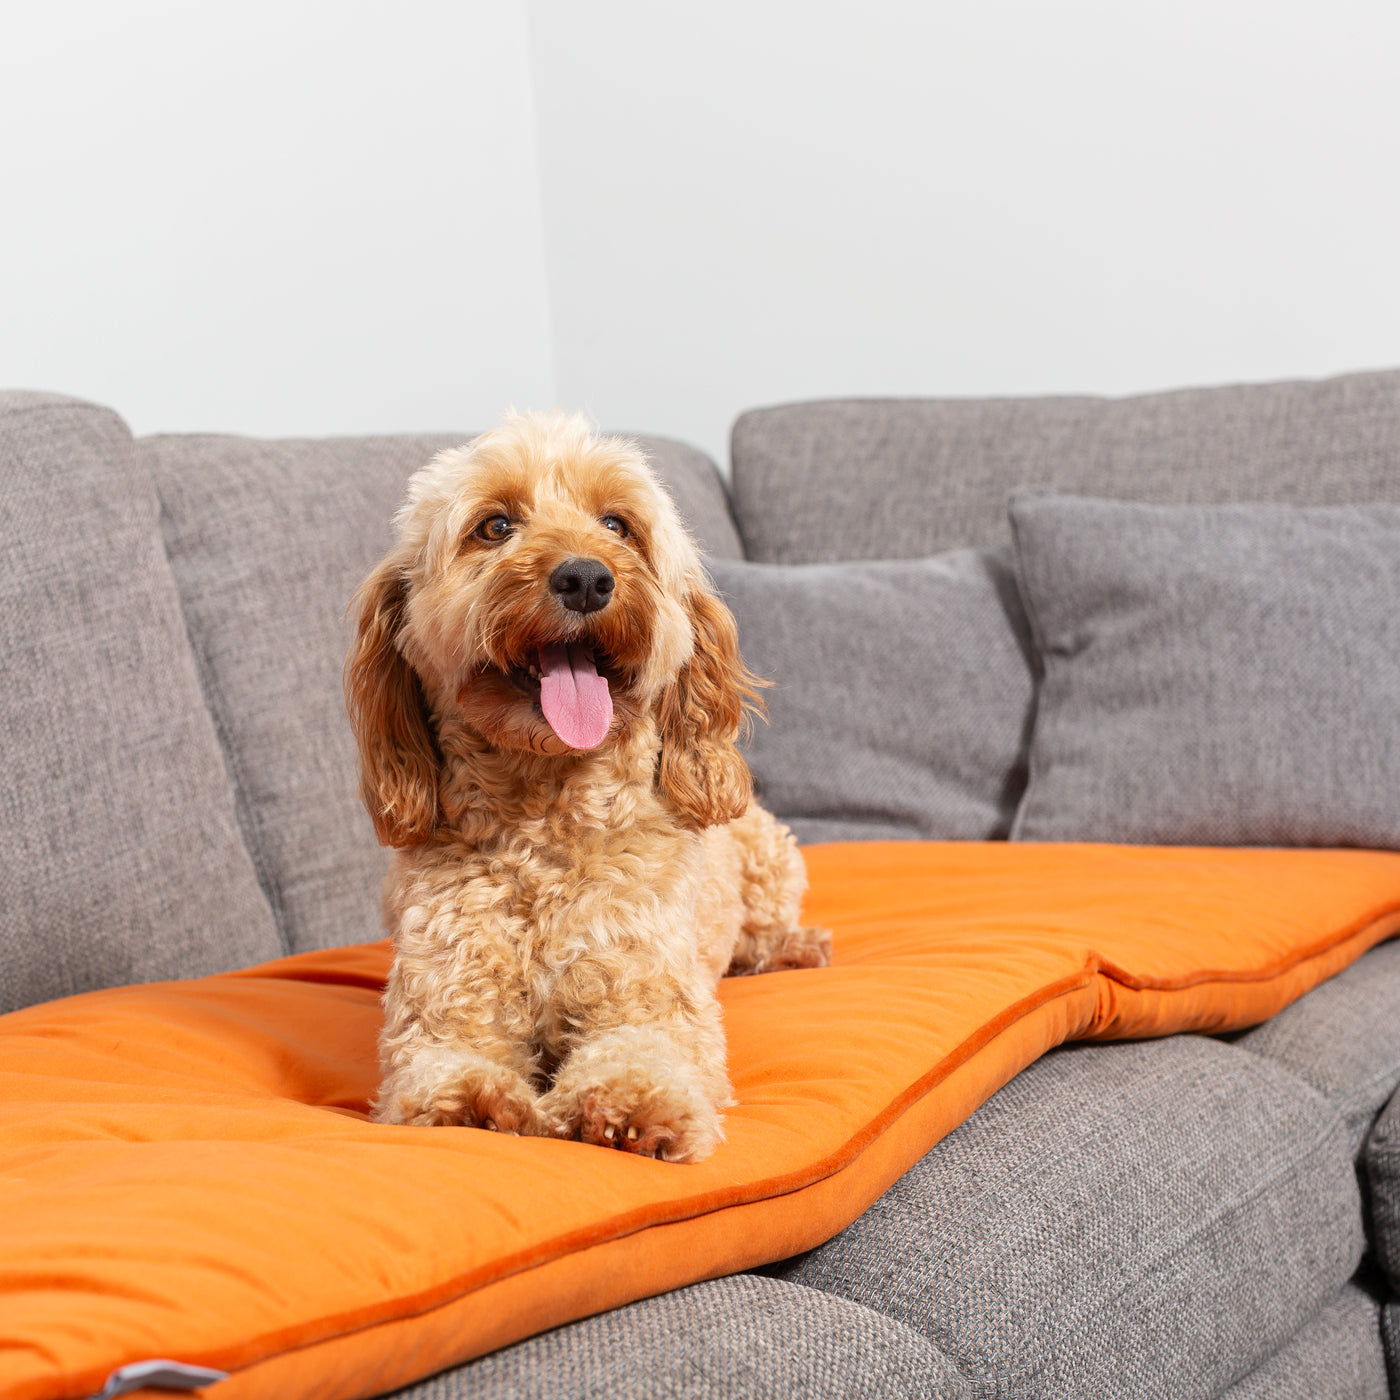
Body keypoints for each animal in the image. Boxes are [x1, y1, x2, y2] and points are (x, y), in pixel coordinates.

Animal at [348, 408, 828, 1164]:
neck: (546, 822)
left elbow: (643, 1055)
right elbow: (443, 1072)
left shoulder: (651, 1002)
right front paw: (474, 1106)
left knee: (763, 933)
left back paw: (793, 947)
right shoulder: (441, 1018)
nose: (585, 578)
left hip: (770, 855)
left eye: (616, 524)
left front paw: (632, 1106)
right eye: (495, 526)